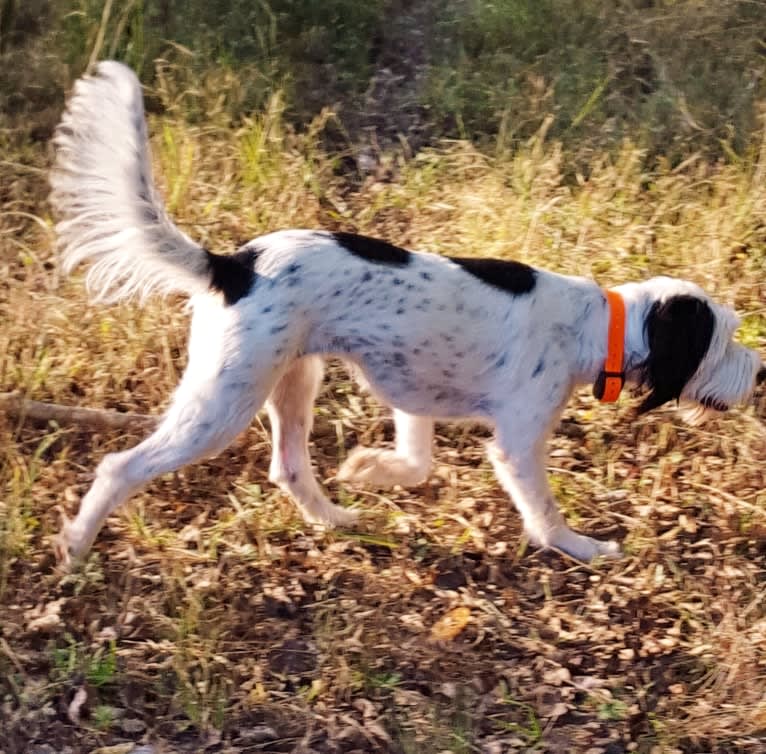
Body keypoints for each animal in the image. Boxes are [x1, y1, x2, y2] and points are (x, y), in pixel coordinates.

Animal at [49, 60, 766, 564]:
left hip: (291, 377)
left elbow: (417, 463)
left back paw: (336, 519)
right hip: (224, 401)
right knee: (121, 467)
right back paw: (77, 545)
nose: (759, 373)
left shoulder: (413, 395)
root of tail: (233, 264)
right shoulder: (518, 441)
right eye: (725, 342)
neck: (598, 323)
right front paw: (581, 547)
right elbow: (544, 515)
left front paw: (370, 471)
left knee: (289, 467)